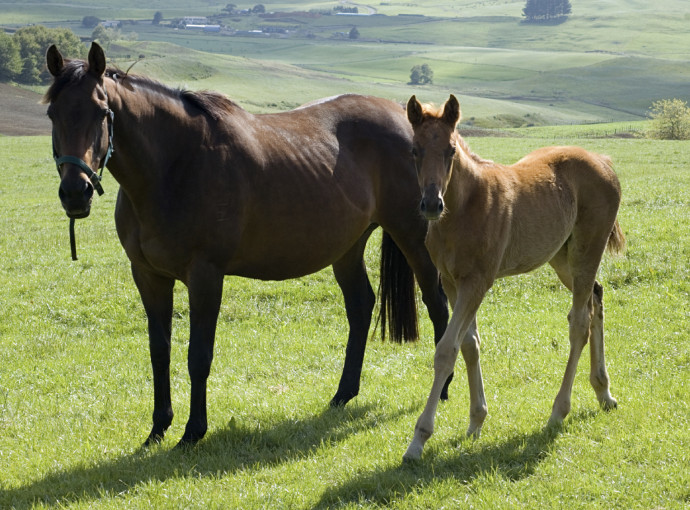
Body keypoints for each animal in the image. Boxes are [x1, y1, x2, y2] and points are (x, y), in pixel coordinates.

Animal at [44, 42, 451, 448]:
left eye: (102, 112)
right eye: (52, 113)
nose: (75, 192)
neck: (175, 166)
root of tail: (407, 120)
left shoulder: (205, 277)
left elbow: (198, 356)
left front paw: (193, 431)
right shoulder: (148, 276)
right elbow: (159, 352)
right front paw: (158, 427)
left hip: (413, 237)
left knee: (437, 303)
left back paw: (443, 389)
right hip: (347, 247)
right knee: (361, 305)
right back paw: (342, 394)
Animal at [402, 95, 625, 460]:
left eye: (451, 150)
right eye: (414, 150)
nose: (431, 204)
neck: (462, 209)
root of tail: (603, 160)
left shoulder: (477, 282)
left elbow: (447, 350)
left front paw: (419, 440)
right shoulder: (450, 281)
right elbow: (470, 344)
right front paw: (476, 421)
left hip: (587, 250)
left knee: (579, 321)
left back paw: (559, 410)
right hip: (561, 257)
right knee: (596, 298)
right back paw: (603, 392)